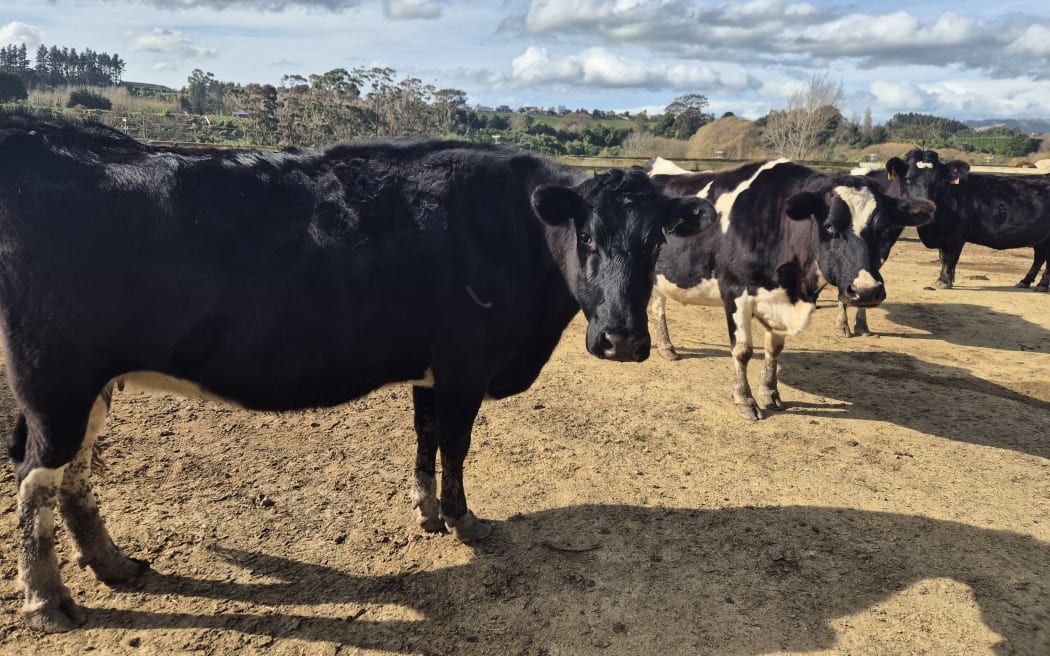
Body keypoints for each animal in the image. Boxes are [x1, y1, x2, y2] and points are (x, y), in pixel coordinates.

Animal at [0, 112, 717, 632]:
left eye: (657, 241)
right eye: (587, 237)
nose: (622, 340)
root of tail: (44, 136)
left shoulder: (432, 370)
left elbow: (425, 438)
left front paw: (426, 510)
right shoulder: (466, 364)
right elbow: (456, 444)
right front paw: (465, 520)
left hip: (91, 385)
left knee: (75, 473)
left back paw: (112, 564)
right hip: (53, 382)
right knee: (35, 479)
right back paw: (47, 603)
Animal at [645, 157, 936, 420]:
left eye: (884, 230)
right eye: (829, 226)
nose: (865, 291)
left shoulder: (780, 300)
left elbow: (774, 348)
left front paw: (769, 392)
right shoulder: (735, 290)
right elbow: (743, 350)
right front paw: (744, 399)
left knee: (657, 307)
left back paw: (666, 347)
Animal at [884, 148, 1050, 291]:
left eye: (937, 181)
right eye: (908, 180)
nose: (925, 206)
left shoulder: (956, 236)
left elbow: (950, 258)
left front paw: (944, 282)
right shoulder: (943, 237)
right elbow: (942, 257)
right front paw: (945, 279)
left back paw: (1042, 285)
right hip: (1041, 239)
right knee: (1041, 256)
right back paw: (1025, 282)